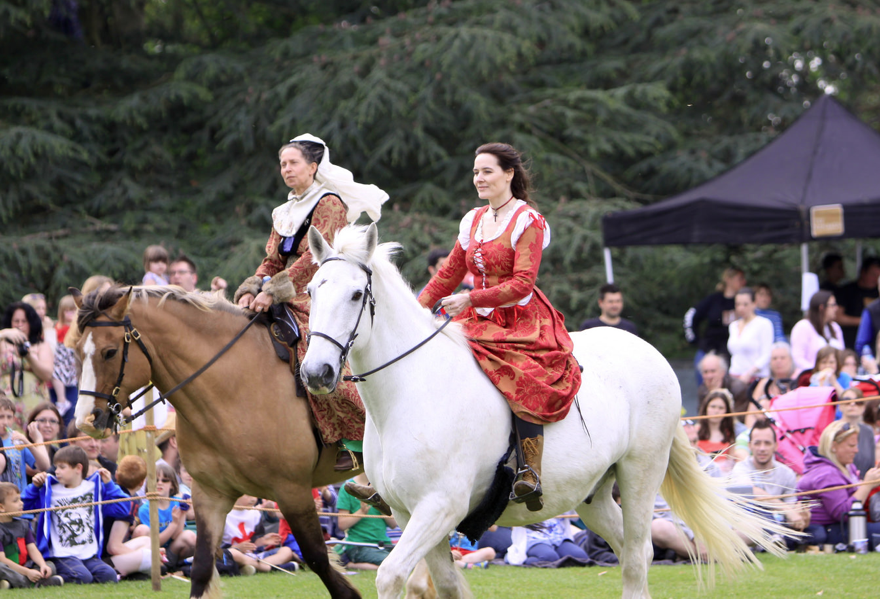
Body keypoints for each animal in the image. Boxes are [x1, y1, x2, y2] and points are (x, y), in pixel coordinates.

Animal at [69, 288, 360, 596]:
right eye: (77, 352)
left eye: (110, 352)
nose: (86, 421)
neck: (234, 387)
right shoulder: (210, 495)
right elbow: (201, 567)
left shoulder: (293, 491)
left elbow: (317, 557)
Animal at [300, 225, 784, 599]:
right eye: (311, 291)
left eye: (357, 294)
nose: (316, 372)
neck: (411, 391)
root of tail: (651, 353)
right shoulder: (407, 514)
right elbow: (444, 585)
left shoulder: (440, 507)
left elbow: (391, 575)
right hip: (594, 495)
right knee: (635, 552)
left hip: (641, 475)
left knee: (635, 557)